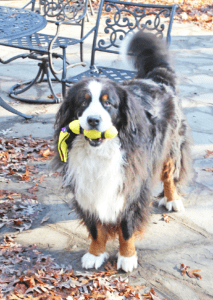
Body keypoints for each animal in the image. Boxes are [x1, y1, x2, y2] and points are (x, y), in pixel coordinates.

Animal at [52, 31, 192, 274]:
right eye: (82, 102)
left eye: (108, 104)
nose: (93, 120)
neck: (99, 152)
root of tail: (155, 78)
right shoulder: (85, 186)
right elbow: (95, 228)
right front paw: (95, 253)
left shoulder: (132, 184)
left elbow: (126, 226)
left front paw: (127, 257)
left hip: (171, 146)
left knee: (169, 174)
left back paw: (172, 199)